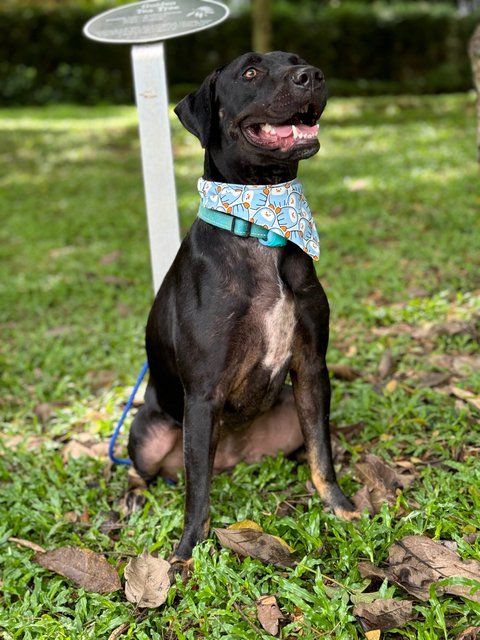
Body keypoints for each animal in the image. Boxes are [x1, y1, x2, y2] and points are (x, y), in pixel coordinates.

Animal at [126, 52, 356, 568]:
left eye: (296, 61)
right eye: (249, 73)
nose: (312, 76)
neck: (261, 227)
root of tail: (232, 457)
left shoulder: (312, 368)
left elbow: (323, 453)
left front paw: (340, 506)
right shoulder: (203, 393)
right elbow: (197, 494)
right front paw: (187, 551)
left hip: (289, 408)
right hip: (147, 430)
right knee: (147, 470)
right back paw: (131, 497)